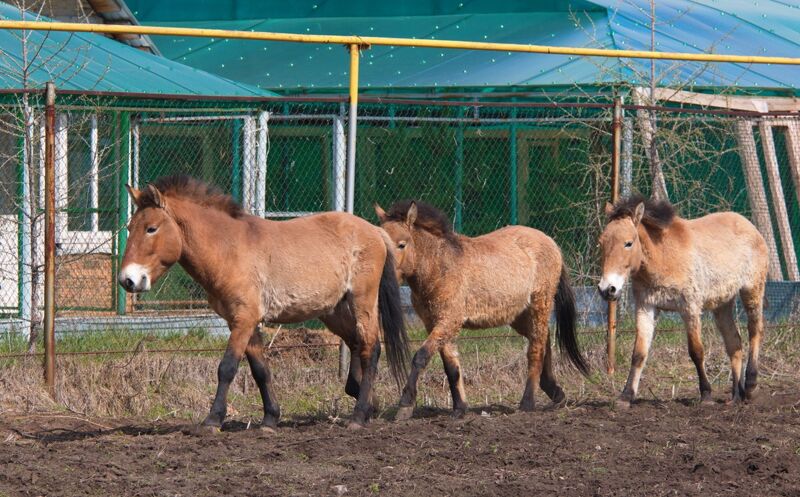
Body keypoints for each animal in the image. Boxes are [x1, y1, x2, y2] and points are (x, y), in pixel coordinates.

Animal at [117, 175, 412, 430]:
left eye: (151, 228)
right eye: (130, 228)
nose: (127, 280)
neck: (229, 249)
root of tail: (375, 231)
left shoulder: (244, 319)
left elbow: (227, 368)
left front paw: (212, 420)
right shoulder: (241, 321)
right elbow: (260, 370)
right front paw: (270, 419)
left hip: (362, 302)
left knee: (371, 348)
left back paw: (359, 415)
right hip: (334, 312)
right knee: (356, 344)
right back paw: (367, 403)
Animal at [374, 199, 588, 418]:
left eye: (401, 244)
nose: (383, 274)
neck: (440, 267)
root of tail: (551, 243)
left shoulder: (448, 321)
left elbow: (421, 357)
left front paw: (405, 405)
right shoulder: (436, 324)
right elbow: (451, 367)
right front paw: (460, 408)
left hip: (540, 304)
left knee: (536, 349)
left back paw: (528, 402)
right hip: (519, 316)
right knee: (543, 340)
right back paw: (556, 393)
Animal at [600, 193, 768, 404]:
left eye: (628, 243)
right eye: (601, 242)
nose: (607, 289)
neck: (662, 256)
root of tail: (751, 227)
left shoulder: (690, 308)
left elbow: (696, 351)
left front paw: (706, 394)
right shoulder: (645, 307)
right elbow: (639, 353)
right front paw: (626, 396)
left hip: (752, 290)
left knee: (755, 330)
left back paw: (751, 385)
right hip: (722, 305)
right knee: (734, 344)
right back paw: (736, 396)